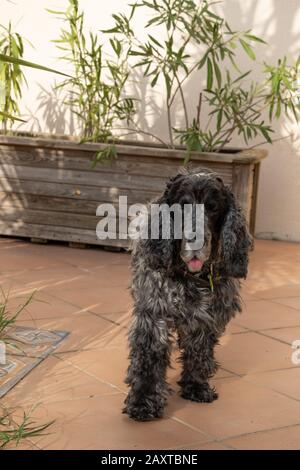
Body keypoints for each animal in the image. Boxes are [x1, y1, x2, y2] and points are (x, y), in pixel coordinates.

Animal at [122, 168, 251, 422]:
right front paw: (143, 401)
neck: (193, 277)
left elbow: (199, 351)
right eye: (182, 206)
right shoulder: (154, 313)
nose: (196, 241)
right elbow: (148, 357)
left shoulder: (207, 318)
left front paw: (196, 387)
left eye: (212, 207)